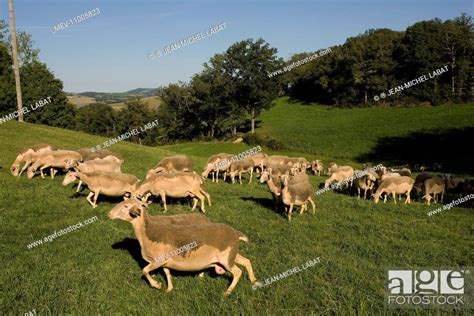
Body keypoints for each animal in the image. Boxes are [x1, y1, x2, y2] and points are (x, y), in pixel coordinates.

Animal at [108, 204, 260, 296]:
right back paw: (253, 280)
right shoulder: (165, 262)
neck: (149, 232)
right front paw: (169, 289)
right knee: (246, 261)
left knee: (238, 272)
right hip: (231, 255)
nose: (109, 214)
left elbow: (144, 271)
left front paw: (156, 285)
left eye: (126, 206)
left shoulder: (158, 260)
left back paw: (227, 292)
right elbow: (167, 273)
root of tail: (236, 234)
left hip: (226, 259)